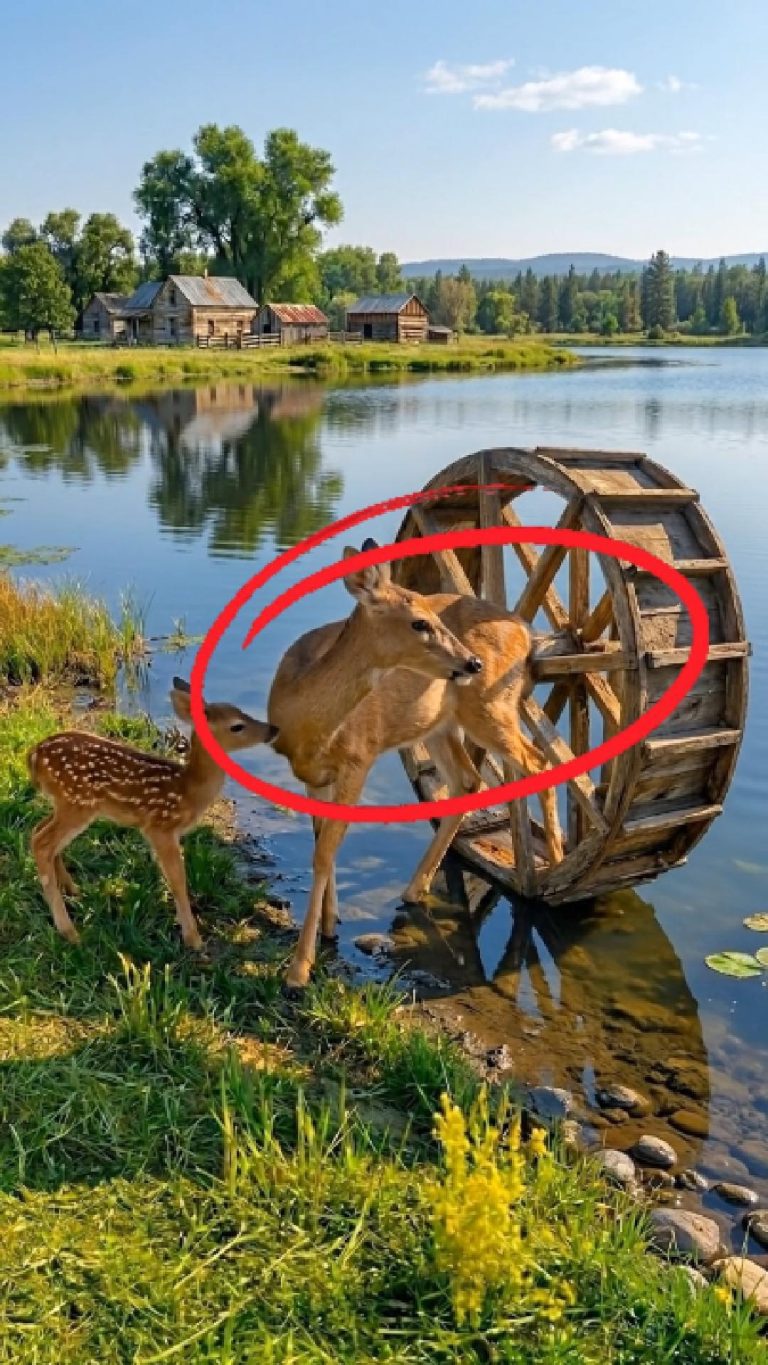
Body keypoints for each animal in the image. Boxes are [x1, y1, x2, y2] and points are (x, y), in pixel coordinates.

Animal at [27, 678, 278, 950]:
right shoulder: (161, 826)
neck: (187, 790)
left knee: (38, 830)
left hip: (65, 804)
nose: (273, 729)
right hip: (77, 803)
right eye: (237, 726)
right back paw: (69, 930)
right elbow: (178, 879)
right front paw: (193, 939)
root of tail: (33, 756)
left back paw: (72, 889)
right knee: (42, 842)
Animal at [267, 538, 563, 991]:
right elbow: (323, 848)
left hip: (491, 708)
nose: (472, 663)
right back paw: (414, 888)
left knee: (538, 759)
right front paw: (330, 926)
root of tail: (526, 631)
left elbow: (324, 852)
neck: (307, 721)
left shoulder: (361, 757)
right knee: (469, 779)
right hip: (440, 726)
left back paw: (556, 864)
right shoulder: (312, 776)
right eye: (419, 622)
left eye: (430, 615)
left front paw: (299, 970)